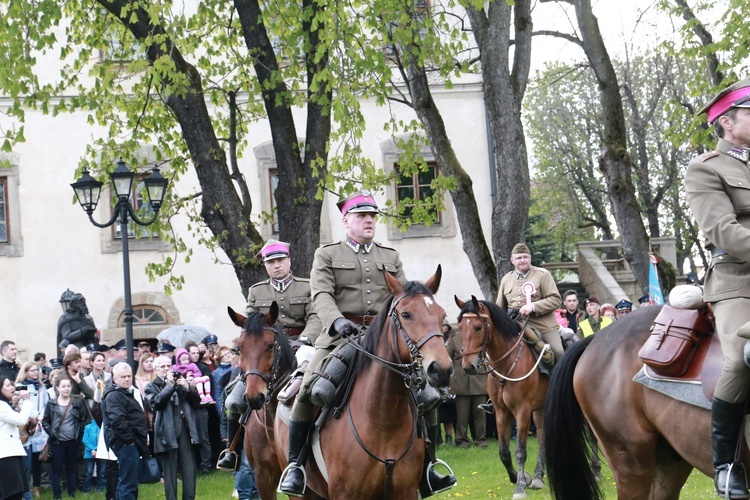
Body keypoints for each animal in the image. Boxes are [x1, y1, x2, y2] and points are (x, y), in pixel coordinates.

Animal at [274, 268, 452, 498]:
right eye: (406, 314)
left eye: (442, 315)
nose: (441, 369)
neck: (384, 420)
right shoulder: (345, 494)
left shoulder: (406, 492)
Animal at [456, 294, 548, 498]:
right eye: (459, 327)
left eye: (478, 327)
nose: (468, 366)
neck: (508, 364)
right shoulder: (501, 412)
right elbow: (504, 452)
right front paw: (520, 478)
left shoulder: (522, 412)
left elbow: (520, 451)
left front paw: (520, 487)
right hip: (540, 409)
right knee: (542, 436)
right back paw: (538, 478)